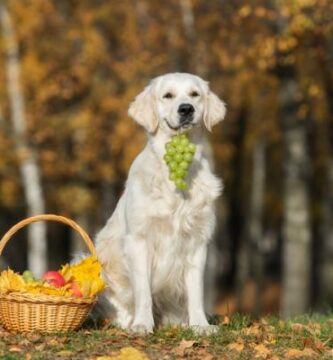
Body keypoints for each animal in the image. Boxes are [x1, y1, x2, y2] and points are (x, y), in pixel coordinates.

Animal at [94, 73, 227, 334]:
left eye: (195, 94)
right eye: (168, 96)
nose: (186, 109)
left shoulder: (197, 241)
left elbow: (196, 290)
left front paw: (200, 325)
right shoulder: (139, 239)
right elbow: (143, 290)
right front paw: (142, 324)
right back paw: (125, 321)